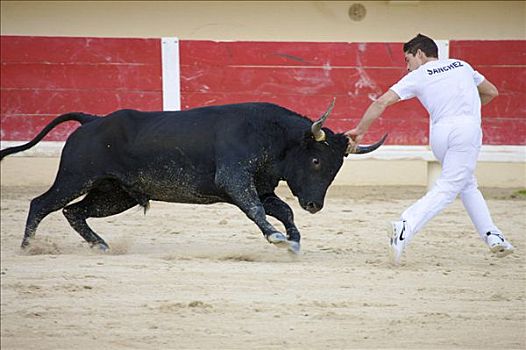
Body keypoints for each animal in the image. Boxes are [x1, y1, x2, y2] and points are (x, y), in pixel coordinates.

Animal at [0, 100, 388, 253]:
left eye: (336, 168)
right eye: (317, 161)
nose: (314, 205)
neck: (271, 135)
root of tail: (91, 120)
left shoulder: (262, 188)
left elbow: (282, 210)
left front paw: (292, 239)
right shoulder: (235, 179)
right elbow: (257, 211)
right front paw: (278, 237)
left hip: (115, 194)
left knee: (74, 212)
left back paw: (101, 245)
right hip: (75, 177)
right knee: (42, 204)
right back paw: (28, 248)